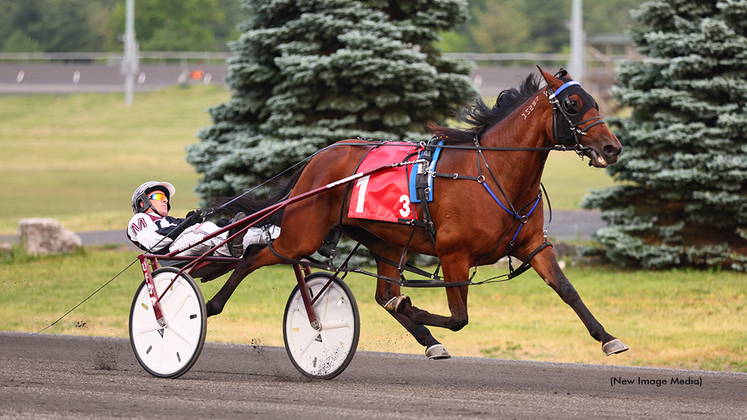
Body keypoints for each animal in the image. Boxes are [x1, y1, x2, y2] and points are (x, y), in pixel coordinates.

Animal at [206, 67, 632, 360]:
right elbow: (459, 317)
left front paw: (608, 338)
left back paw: (426, 338)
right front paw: (413, 306)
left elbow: (567, 290)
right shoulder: (454, 254)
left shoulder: (532, 246)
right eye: (574, 104)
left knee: (382, 293)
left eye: (595, 101)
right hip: (303, 232)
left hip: (386, 241)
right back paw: (210, 306)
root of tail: (319, 157)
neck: (492, 173)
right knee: (253, 255)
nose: (612, 147)